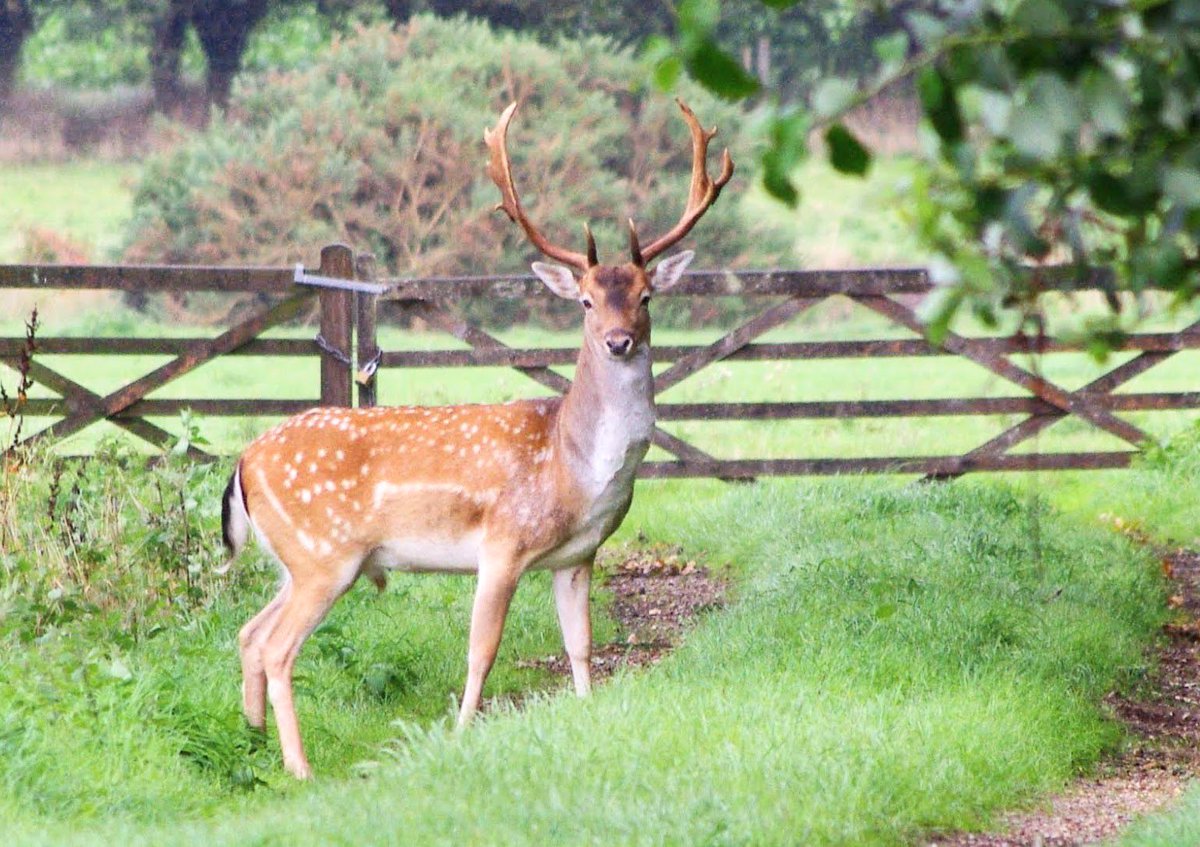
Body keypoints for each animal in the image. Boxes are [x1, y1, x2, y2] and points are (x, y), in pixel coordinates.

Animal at [219, 98, 733, 779]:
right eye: (586, 301)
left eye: (647, 296)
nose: (618, 340)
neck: (573, 467)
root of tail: (242, 462)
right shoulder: (503, 544)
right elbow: (481, 651)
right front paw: (462, 734)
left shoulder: (578, 556)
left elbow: (581, 646)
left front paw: (587, 712)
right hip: (323, 556)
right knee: (277, 647)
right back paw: (301, 770)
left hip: (294, 561)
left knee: (250, 634)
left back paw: (252, 746)